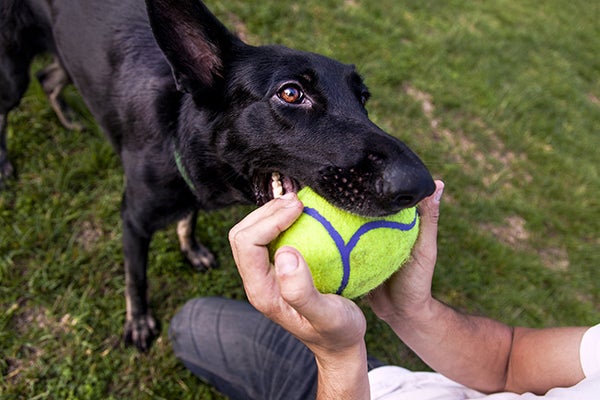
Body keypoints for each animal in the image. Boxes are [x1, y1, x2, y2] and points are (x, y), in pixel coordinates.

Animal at [0, 0, 434, 350]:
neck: (177, 130)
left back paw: (67, 117)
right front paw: (138, 322)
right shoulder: (133, 221)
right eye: (291, 93)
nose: (420, 186)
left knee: (49, 78)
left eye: (363, 98)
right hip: (11, 75)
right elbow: (136, 278)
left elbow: (188, 218)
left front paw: (189, 247)